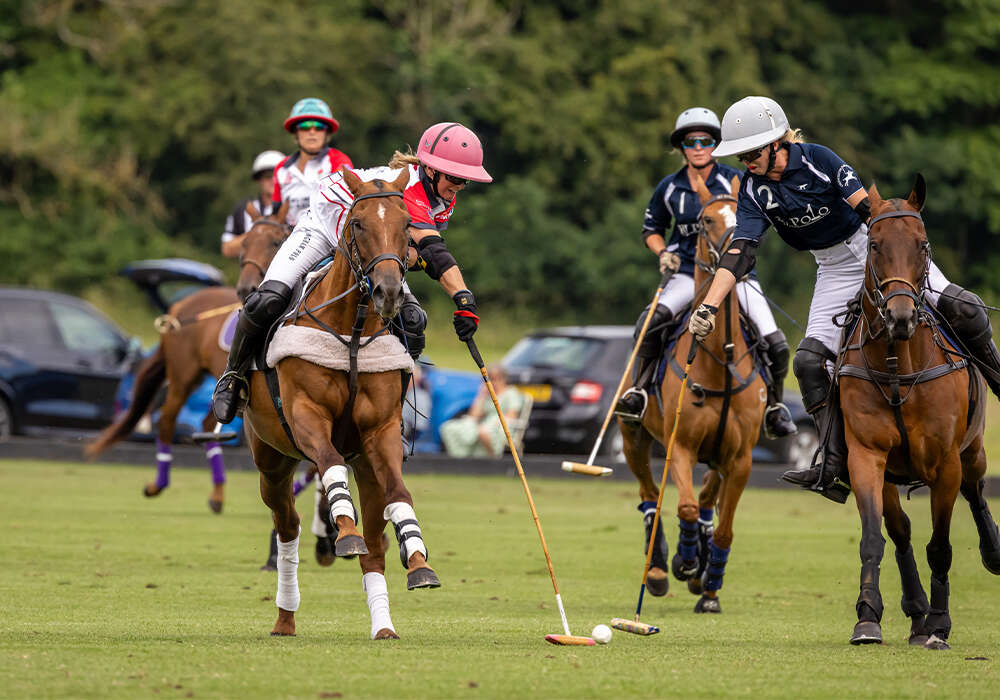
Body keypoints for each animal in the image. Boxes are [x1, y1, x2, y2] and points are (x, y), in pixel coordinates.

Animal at [85, 202, 290, 516]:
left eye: (276, 242)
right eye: (244, 243)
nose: (246, 289)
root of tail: (178, 308)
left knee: (205, 424)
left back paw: (217, 495)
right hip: (185, 374)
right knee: (169, 418)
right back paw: (159, 484)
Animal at [242, 167, 438, 636]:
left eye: (407, 225)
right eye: (359, 223)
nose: (388, 291)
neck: (352, 331)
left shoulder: (380, 432)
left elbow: (399, 494)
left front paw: (418, 559)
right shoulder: (306, 415)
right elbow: (330, 464)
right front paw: (342, 532)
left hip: (364, 464)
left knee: (374, 544)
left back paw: (383, 627)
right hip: (270, 459)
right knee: (287, 526)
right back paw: (285, 616)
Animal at [616, 175, 764, 612]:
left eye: (741, 213)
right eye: (705, 221)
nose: (739, 259)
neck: (719, 361)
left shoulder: (741, 458)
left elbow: (723, 527)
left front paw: (710, 587)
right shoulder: (678, 445)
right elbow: (681, 504)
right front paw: (684, 560)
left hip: (718, 457)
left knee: (707, 500)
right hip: (634, 438)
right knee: (650, 496)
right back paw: (659, 569)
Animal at [836, 176, 1000, 652]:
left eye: (923, 244)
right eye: (873, 245)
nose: (900, 317)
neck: (898, 366)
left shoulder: (945, 462)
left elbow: (941, 546)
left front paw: (940, 626)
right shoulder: (865, 456)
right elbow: (875, 538)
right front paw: (867, 618)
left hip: (972, 450)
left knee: (976, 491)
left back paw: (992, 553)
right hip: (893, 474)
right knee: (901, 530)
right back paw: (915, 615)